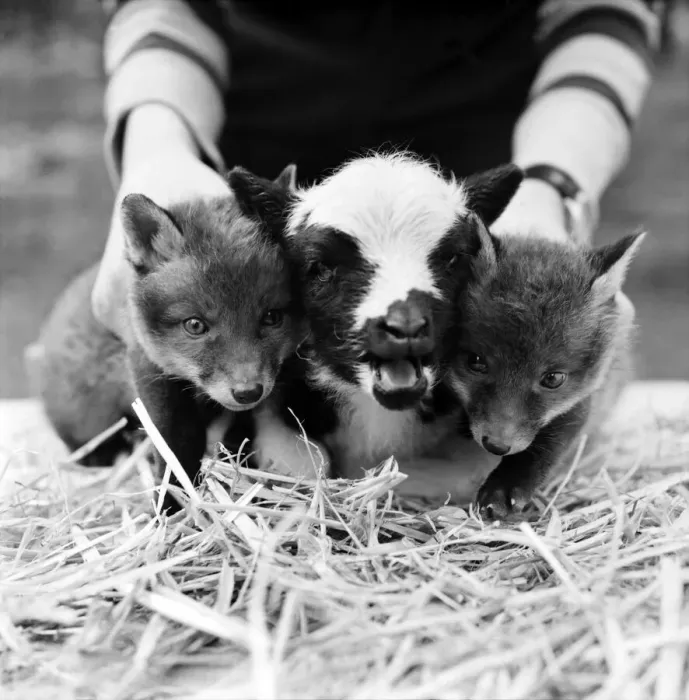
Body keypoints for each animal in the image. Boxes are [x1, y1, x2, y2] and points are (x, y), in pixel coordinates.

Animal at [29, 164, 313, 507]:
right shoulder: (154, 380)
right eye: (195, 325)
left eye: (272, 317)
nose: (247, 392)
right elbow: (174, 453)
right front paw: (172, 506)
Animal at [447, 219, 645, 520]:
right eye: (476, 362)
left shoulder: (584, 397)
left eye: (552, 378)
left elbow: (548, 447)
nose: (497, 445)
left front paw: (505, 486)